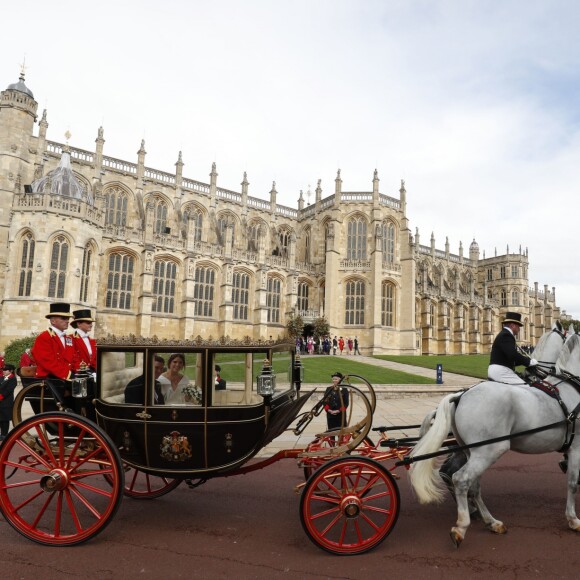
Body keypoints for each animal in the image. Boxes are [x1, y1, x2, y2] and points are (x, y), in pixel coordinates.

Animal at [410, 326, 576, 548]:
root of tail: (459, 396)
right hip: (487, 449)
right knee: (456, 476)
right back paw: (466, 520)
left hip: (471, 449)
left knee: (458, 476)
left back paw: (480, 516)